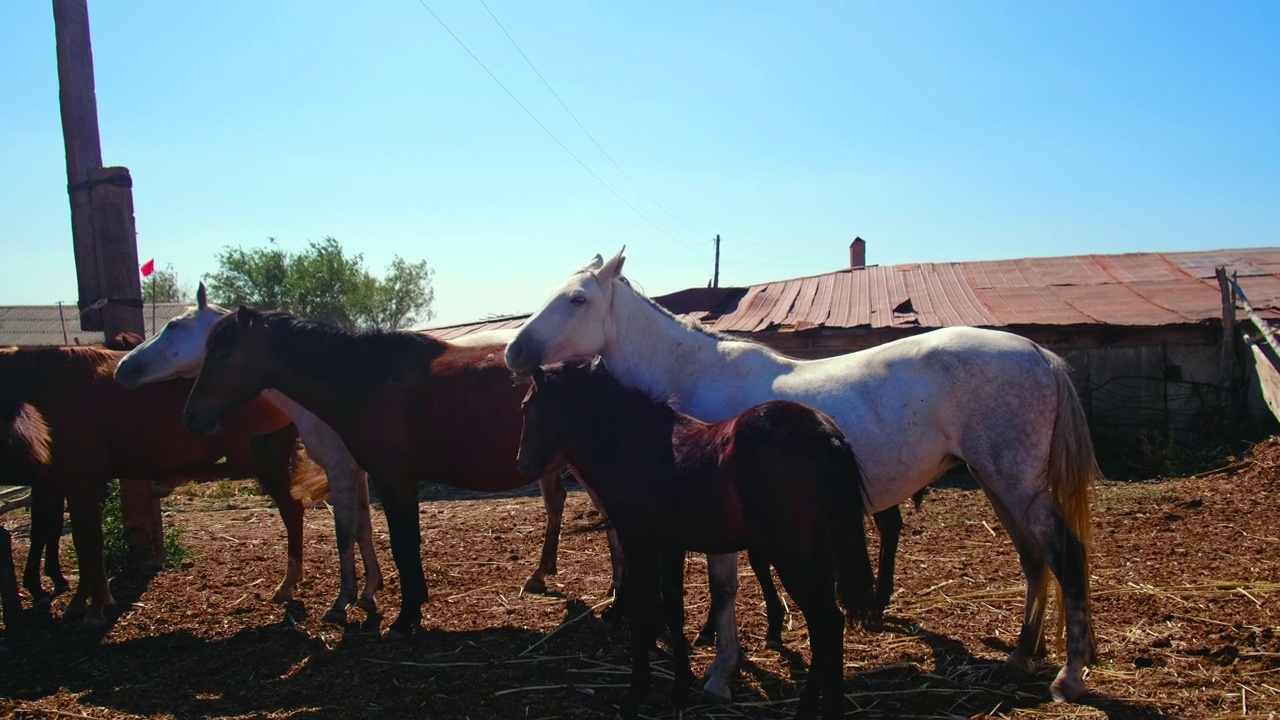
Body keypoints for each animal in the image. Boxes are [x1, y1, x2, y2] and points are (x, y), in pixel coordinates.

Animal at [0, 343, 314, 627]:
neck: (45, 385)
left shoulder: (79, 484)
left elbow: (87, 542)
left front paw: (94, 607)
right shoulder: (67, 485)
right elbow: (79, 541)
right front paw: (82, 601)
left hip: (262, 459)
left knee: (288, 509)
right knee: (290, 509)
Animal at [514, 358, 875, 717]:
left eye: (526, 407)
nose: (523, 465)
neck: (633, 442)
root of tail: (828, 437)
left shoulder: (639, 543)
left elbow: (644, 612)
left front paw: (636, 695)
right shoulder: (670, 546)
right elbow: (674, 611)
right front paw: (680, 688)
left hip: (793, 558)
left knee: (826, 624)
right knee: (826, 627)